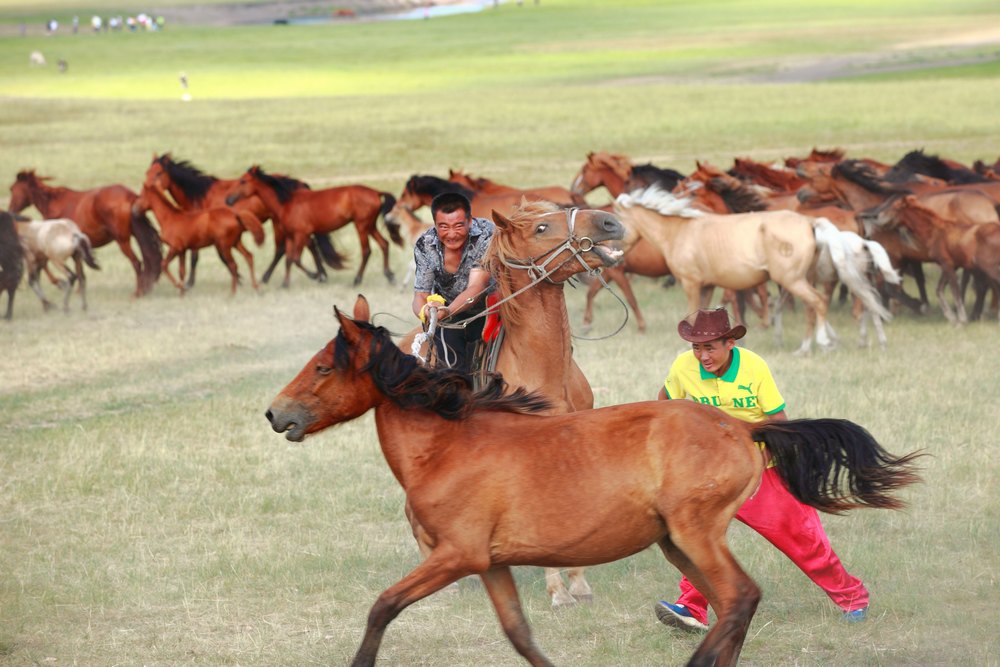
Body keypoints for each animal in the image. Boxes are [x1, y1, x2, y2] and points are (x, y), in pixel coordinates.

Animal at [8, 170, 161, 298]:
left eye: (12, 189)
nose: (10, 211)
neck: (55, 205)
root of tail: (129, 195)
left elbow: (47, 265)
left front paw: (59, 282)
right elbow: (79, 269)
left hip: (122, 241)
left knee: (136, 263)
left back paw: (138, 292)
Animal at [135, 184, 264, 296]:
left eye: (141, 196)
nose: (134, 210)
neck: (170, 218)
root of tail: (235, 214)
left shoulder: (175, 248)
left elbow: (164, 265)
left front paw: (180, 287)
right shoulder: (182, 250)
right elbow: (182, 271)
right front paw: (182, 293)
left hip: (225, 246)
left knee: (233, 265)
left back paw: (232, 293)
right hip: (235, 243)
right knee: (249, 256)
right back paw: (256, 288)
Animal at [143, 155, 342, 288]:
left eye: (159, 172)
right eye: (147, 172)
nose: (147, 188)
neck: (201, 196)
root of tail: (299, 184)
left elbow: (212, 257)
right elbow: (200, 256)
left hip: (281, 224)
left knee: (288, 248)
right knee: (304, 246)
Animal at [225, 167, 400, 288]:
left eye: (242, 181)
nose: (228, 200)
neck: (286, 203)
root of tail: (376, 192)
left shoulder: (302, 234)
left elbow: (296, 259)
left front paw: (316, 275)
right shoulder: (291, 235)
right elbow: (288, 259)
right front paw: (285, 284)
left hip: (361, 226)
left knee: (366, 251)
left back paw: (357, 280)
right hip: (370, 226)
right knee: (384, 244)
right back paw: (390, 276)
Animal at [264, 294, 920, 667]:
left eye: (321, 367)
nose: (275, 414)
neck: (448, 445)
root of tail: (741, 427)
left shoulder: (455, 556)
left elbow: (382, 608)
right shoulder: (491, 563)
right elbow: (521, 636)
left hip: (696, 532)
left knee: (738, 598)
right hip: (675, 542)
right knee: (735, 604)